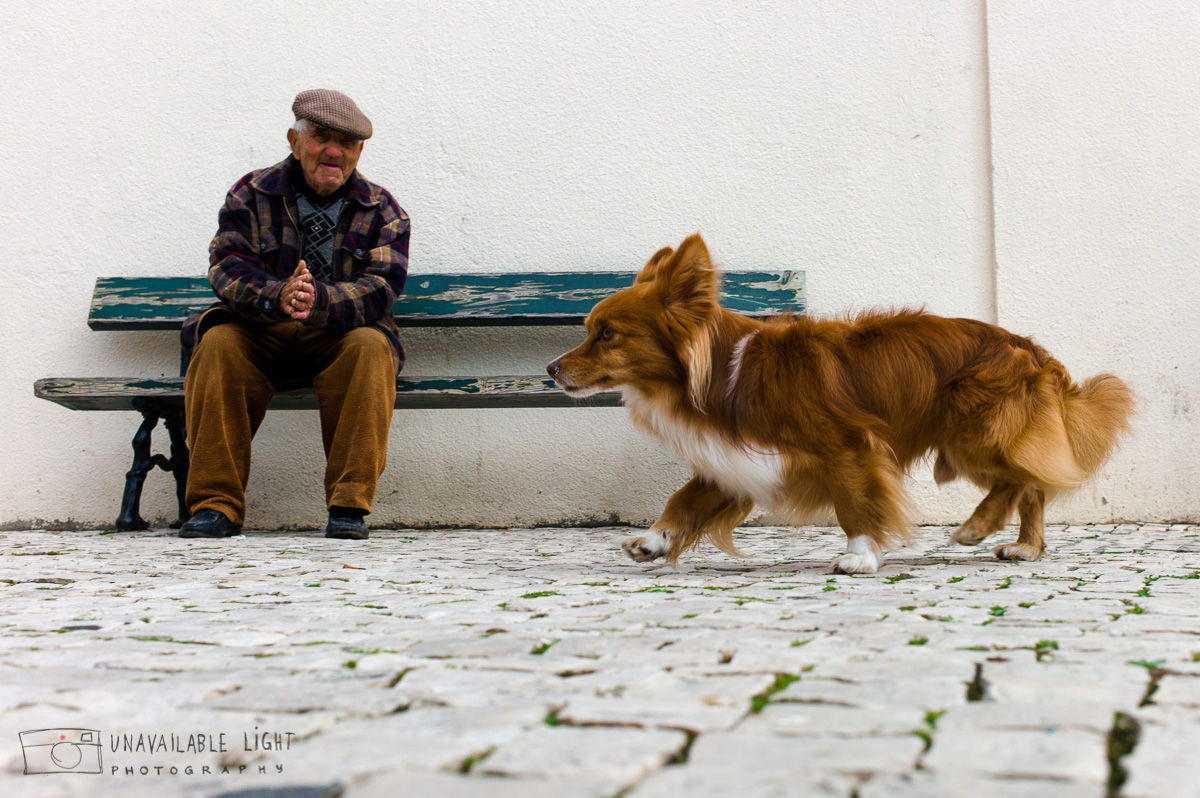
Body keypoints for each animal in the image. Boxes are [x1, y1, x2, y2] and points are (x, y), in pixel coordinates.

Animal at [549, 234, 1128, 568]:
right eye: (590, 329)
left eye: (607, 334)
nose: (552, 368)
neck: (724, 372)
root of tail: (1030, 347)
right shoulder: (736, 459)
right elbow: (684, 500)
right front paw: (655, 541)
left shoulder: (847, 445)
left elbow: (854, 501)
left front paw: (859, 555)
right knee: (1031, 484)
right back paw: (1026, 546)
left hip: (969, 434)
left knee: (1017, 480)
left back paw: (976, 529)